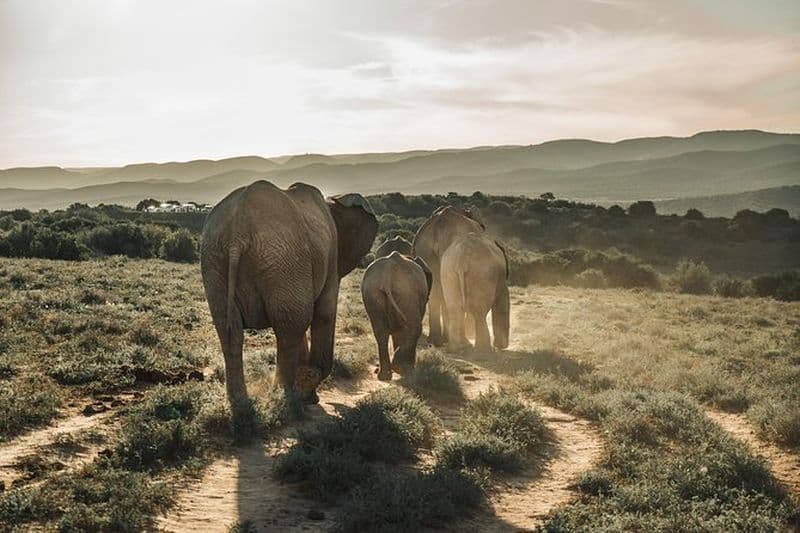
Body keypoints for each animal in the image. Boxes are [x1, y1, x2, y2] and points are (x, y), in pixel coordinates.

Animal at [200, 181, 378, 407]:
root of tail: (237, 232)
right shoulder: (330, 257)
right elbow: (324, 313)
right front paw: (308, 393)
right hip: (283, 259)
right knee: (290, 327)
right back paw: (283, 399)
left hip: (217, 259)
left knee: (230, 329)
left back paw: (241, 404)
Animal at [361, 252, 432, 380]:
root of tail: (387, 275)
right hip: (407, 293)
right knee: (414, 328)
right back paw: (400, 369)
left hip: (372, 293)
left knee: (381, 332)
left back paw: (384, 375)